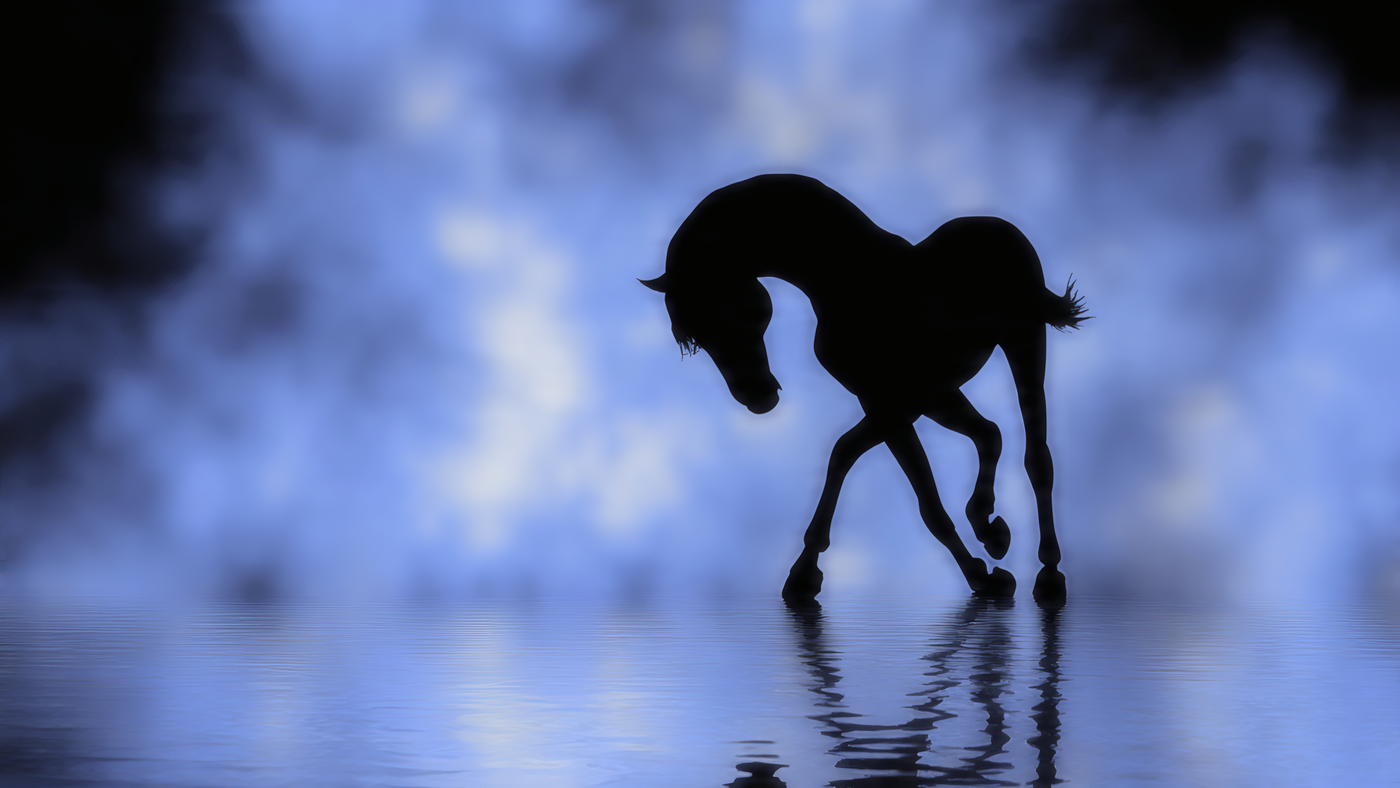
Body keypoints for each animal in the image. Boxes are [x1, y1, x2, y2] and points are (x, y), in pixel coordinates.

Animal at [641, 174, 1087, 602]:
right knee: (990, 432)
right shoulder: (894, 399)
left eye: (728, 310)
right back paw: (989, 526)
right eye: (694, 339)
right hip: (947, 389)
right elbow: (878, 471)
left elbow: (891, 480)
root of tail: (997, 226)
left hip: (1022, 341)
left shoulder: (896, 403)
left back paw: (1049, 575)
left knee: (1036, 458)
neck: (850, 280)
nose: (756, 397)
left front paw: (983, 578)